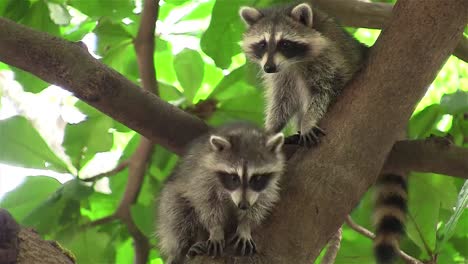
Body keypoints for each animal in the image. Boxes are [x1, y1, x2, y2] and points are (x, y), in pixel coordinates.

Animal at [155, 122, 284, 262]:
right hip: (170, 200)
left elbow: (259, 206)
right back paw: (185, 247)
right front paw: (216, 229)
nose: (243, 205)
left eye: (257, 178)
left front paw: (245, 226)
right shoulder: (203, 176)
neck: (245, 132)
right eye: (233, 178)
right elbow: (207, 204)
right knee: (178, 214)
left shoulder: (268, 188)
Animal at [241, 2, 406, 264]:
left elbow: (324, 90)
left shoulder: (328, 58)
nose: (268, 67)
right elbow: (281, 102)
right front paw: (271, 129)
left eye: (285, 44)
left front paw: (310, 120)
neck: (292, 63)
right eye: (262, 44)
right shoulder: (281, 76)